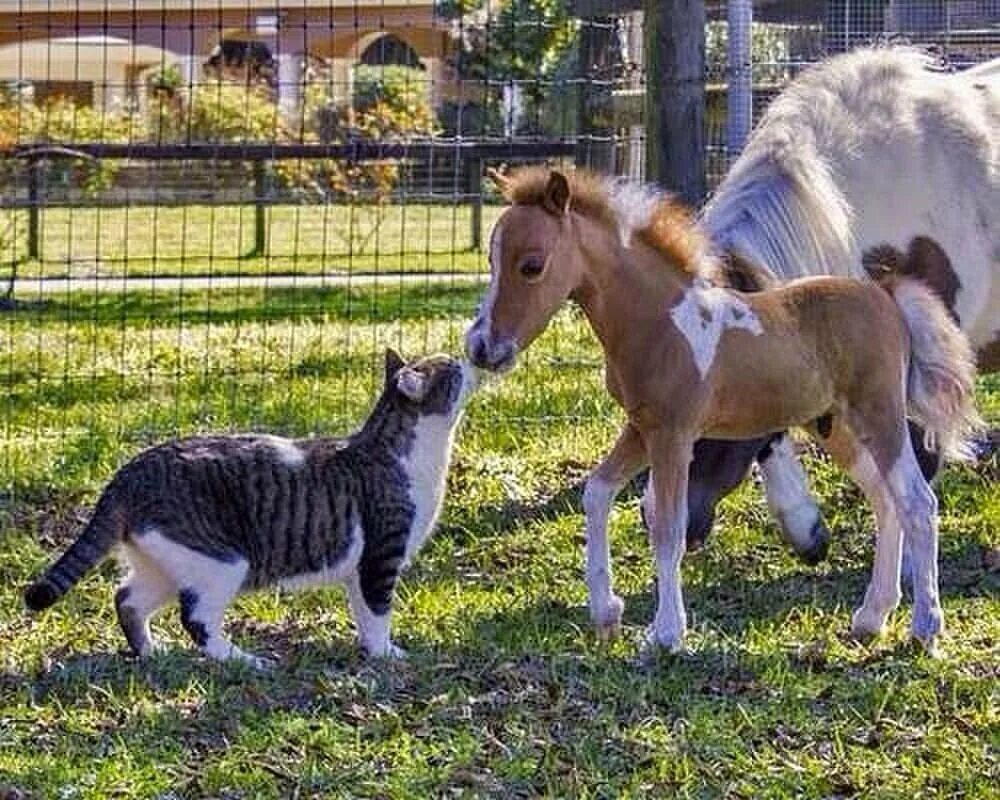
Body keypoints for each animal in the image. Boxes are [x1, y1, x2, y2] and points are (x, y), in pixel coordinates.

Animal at [24, 350, 476, 668]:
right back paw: (242, 660)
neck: (402, 452)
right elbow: (379, 610)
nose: (470, 360)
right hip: (222, 560)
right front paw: (386, 654)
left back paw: (152, 651)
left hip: (163, 562)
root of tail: (129, 473)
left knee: (127, 599)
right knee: (196, 618)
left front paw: (370, 648)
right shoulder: (381, 555)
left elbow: (364, 612)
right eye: (454, 372)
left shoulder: (358, 569)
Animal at [466, 167, 976, 656]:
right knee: (885, 498)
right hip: (837, 427)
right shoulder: (641, 428)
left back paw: (925, 628)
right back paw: (871, 617)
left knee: (917, 501)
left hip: (880, 414)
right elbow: (597, 492)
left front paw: (666, 635)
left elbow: (667, 527)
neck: (660, 321)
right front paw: (606, 611)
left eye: (532, 265)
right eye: (490, 261)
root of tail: (887, 296)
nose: (481, 348)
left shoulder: (674, 434)